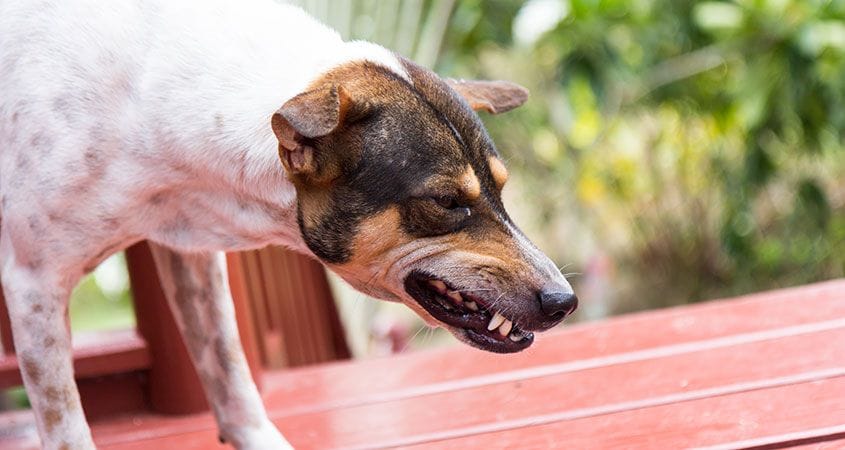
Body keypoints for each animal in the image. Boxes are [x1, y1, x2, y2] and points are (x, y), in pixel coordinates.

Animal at [0, 0, 576, 448]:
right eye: (446, 201)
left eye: (501, 188)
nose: (563, 301)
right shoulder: (33, 283)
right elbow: (65, 424)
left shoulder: (190, 254)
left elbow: (230, 370)